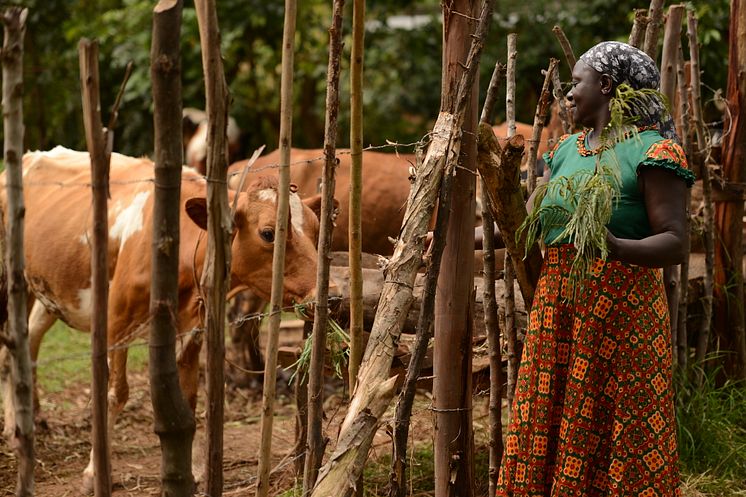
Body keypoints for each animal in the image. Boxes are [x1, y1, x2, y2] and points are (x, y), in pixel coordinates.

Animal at [0, 145, 322, 490]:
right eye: (268, 233)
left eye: (316, 229)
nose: (323, 291)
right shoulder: (115, 323)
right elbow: (114, 394)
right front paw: (94, 472)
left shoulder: (193, 330)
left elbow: (190, 398)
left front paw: (192, 469)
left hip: (50, 292)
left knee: (28, 341)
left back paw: (28, 420)